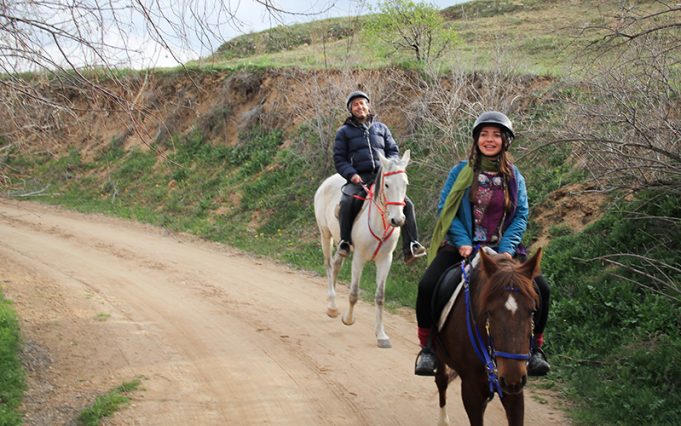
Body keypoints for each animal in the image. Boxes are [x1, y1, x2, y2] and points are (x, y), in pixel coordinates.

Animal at [314, 151, 410, 348]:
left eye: (405, 183)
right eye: (387, 184)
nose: (397, 220)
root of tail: (327, 181)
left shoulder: (385, 260)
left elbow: (380, 297)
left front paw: (381, 335)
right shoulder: (359, 258)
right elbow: (354, 293)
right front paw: (348, 319)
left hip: (340, 245)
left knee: (336, 264)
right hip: (325, 234)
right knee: (328, 266)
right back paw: (332, 306)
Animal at [436, 248, 540, 424]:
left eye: (532, 311)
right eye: (489, 312)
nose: (512, 379)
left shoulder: (514, 391)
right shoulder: (471, 388)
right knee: (441, 380)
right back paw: (443, 421)